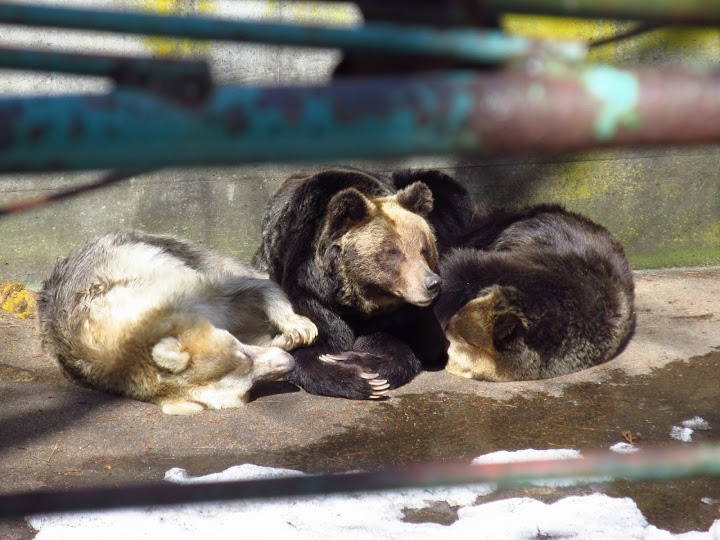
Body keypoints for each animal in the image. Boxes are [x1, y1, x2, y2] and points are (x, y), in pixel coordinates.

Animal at [255, 169, 472, 400]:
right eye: (394, 253)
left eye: (424, 249)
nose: (432, 284)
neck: (358, 301)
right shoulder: (311, 294)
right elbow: (309, 346)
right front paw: (351, 375)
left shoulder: (400, 313)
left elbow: (403, 344)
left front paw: (363, 365)